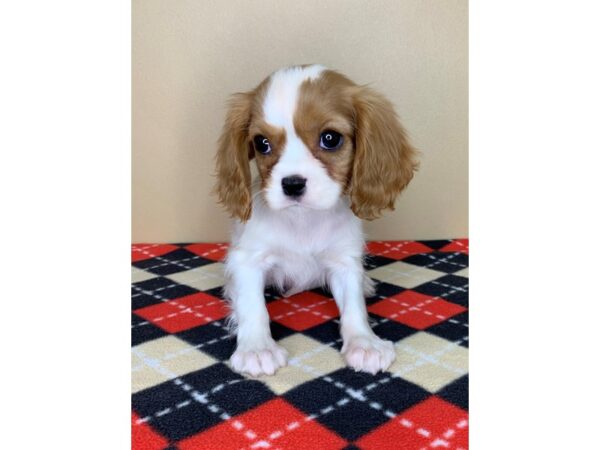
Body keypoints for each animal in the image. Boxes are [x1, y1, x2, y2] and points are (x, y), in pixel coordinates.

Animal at [214, 64, 418, 376]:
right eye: (262, 143)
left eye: (330, 138)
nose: (292, 184)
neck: (302, 219)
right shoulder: (248, 259)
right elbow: (253, 306)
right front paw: (257, 349)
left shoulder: (344, 260)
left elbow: (353, 305)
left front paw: (364, 343)